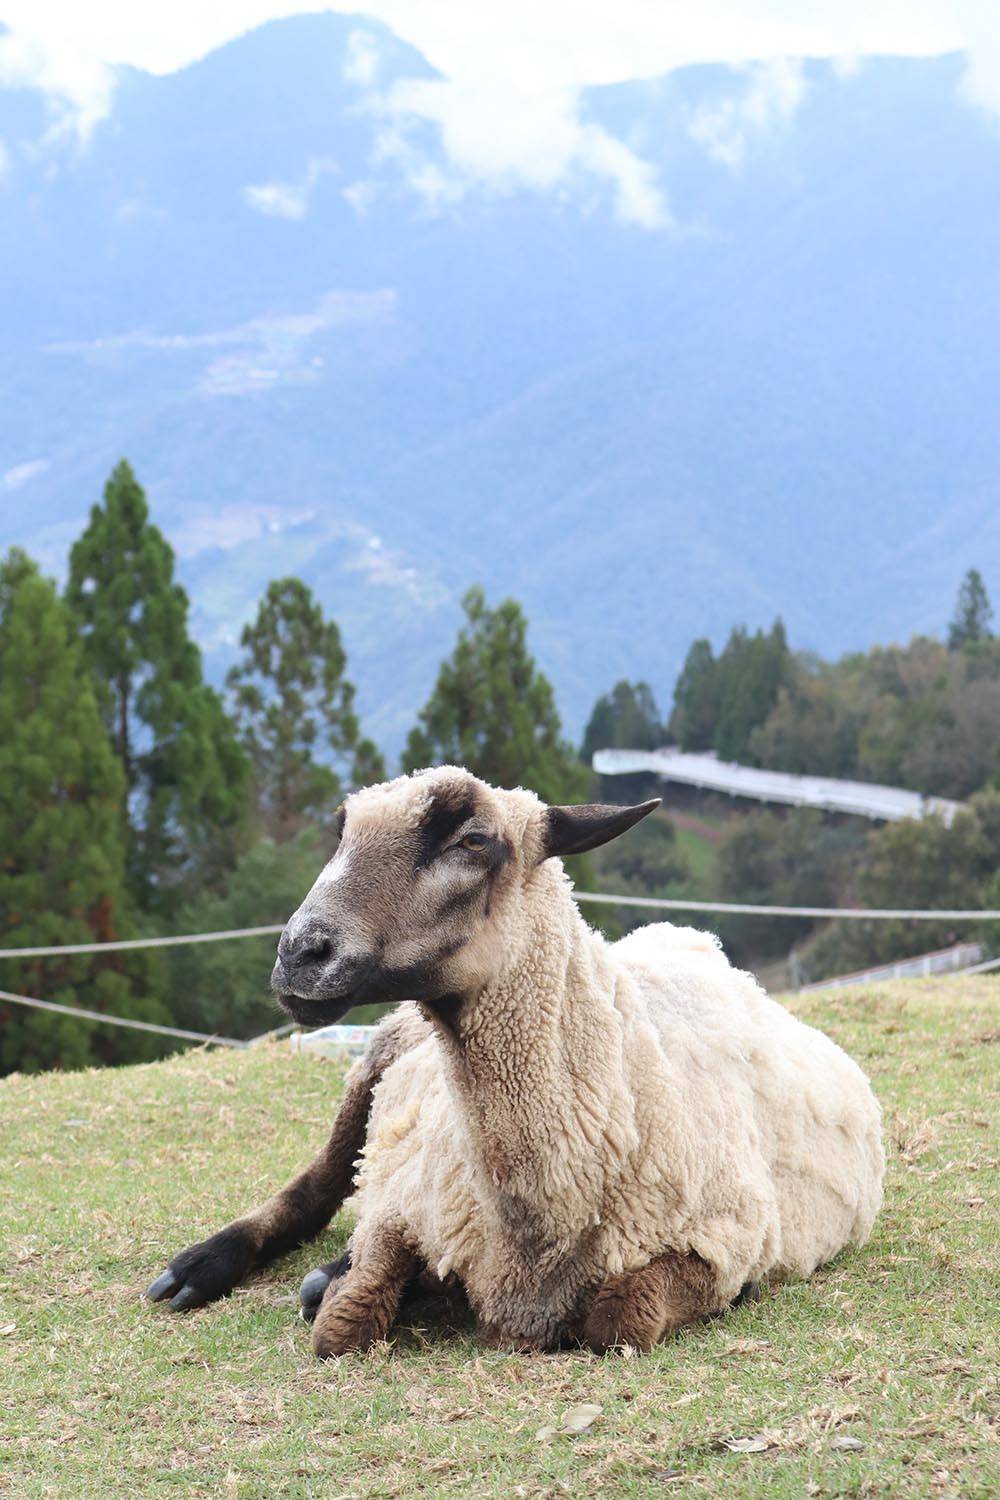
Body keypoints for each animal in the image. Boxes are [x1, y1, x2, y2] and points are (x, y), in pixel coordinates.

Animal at [148, 768, 881, 1356]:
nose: (299, 953)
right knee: (317, 1185)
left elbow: (620, 1321)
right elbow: (342, 1325)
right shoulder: (405, 1203)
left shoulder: (723, 1241)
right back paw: (196, 1270)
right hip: (376, 1060)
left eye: (473, 840)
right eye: (342, 835)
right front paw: (357, 1286)